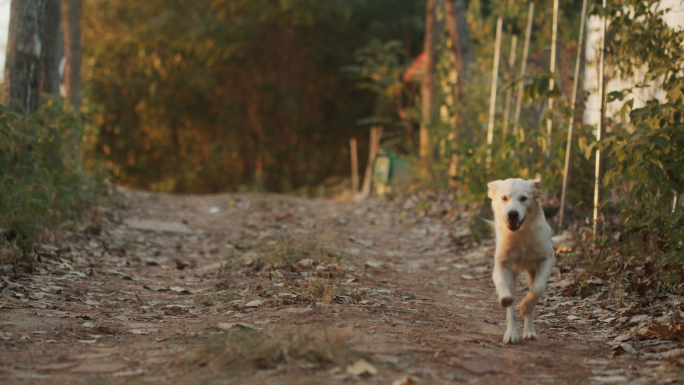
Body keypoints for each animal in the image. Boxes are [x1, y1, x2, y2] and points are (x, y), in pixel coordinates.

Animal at [486, 178, 556, 344]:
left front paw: (524, 306)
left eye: (524, 198)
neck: (521, 234)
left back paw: (529, 331)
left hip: (531, 271)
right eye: (504, 198)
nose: (512, 214)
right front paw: (505, 298)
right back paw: (511, 334)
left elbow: (538, 289)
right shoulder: (502, 264)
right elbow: (501, 285)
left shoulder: (546, 259)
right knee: (510, 310)